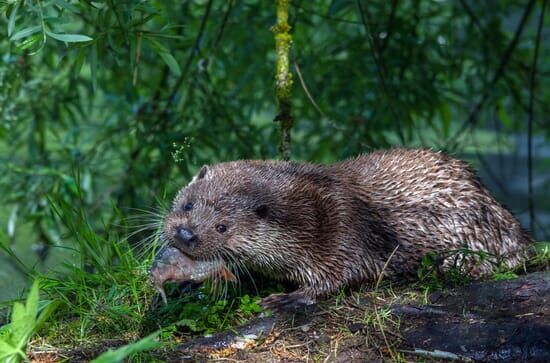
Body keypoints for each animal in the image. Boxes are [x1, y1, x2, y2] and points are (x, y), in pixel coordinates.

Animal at [162, 148, 532, 310]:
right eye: (189, 204)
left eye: (223, 227)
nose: (186, 234)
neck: (308, 214)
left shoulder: (342, 231)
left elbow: (338, 278)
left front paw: (287, 299)